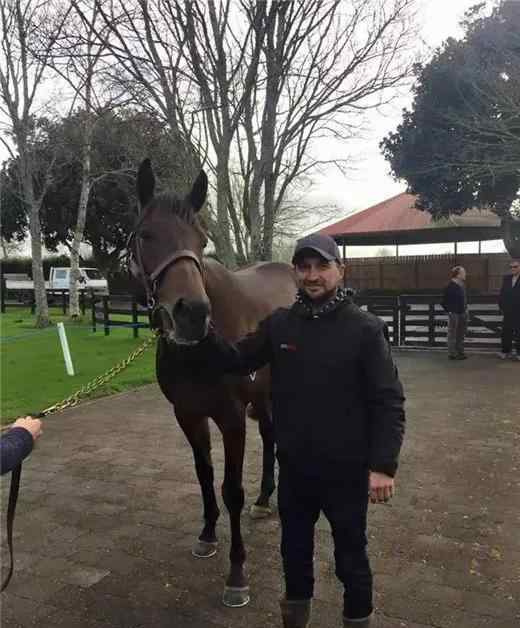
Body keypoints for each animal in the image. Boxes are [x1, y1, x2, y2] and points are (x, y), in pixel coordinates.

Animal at [128, 158, 296, 608]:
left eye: (201, 240)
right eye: (146, 234)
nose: (191, 314)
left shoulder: (231, 418)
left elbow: (230, 489)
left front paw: (237, 574)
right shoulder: (188, 414)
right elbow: (204, 475)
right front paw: (206, 535)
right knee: (270, 435)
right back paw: (264, 499)